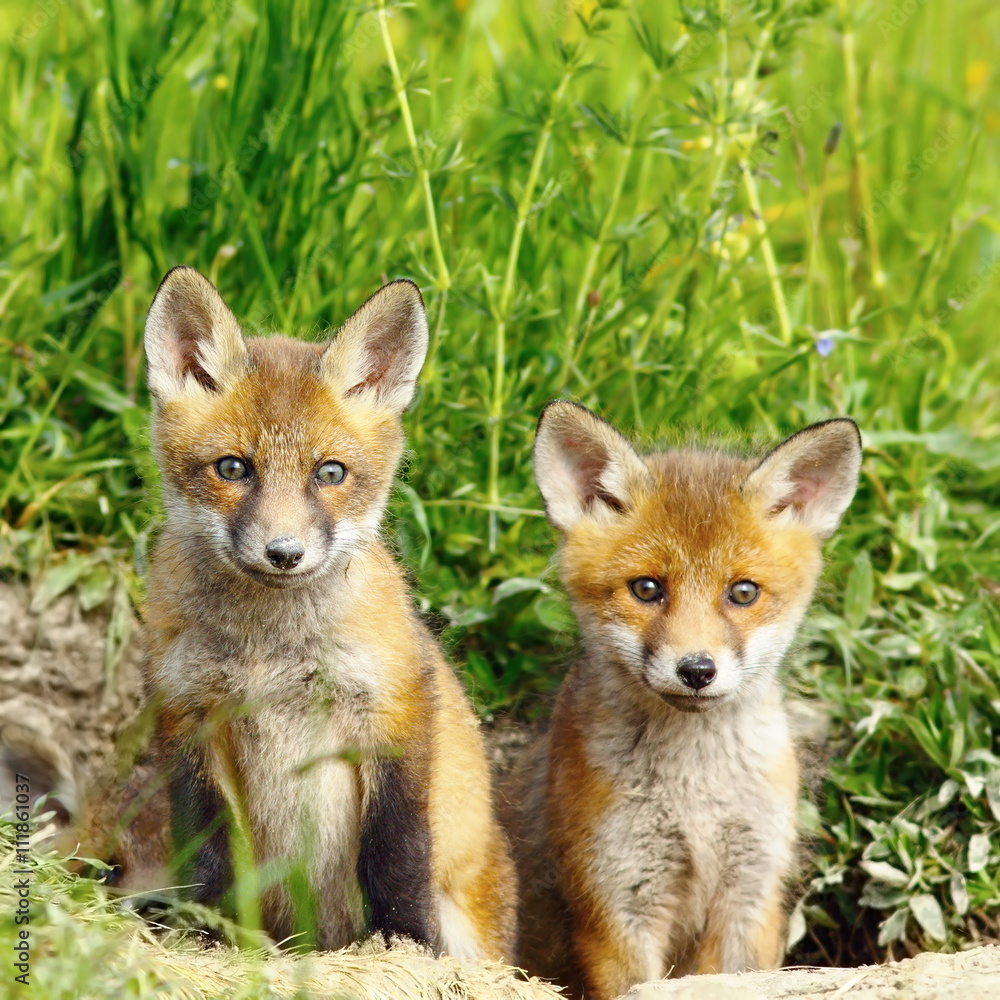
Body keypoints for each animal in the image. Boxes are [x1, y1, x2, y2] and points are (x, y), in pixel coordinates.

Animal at [138, 266, 516, 958]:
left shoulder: (395, 711)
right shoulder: (188, 722)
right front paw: (206, 938)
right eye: (233, 468)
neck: (270, 653)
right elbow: (207, 857)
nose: (284, 553)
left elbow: (396, 854)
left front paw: (403, 944)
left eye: (330, 473)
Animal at [501, 401, 862, 999]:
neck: (697, 798)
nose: (696, 670)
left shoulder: (750, 893)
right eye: (647, 589)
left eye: (743, 592)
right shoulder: (617, 902)